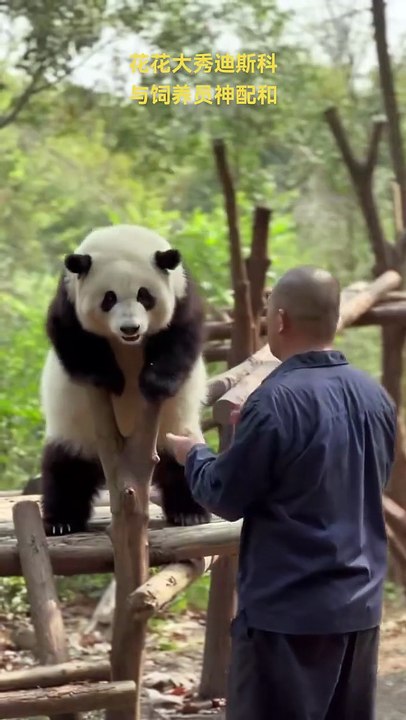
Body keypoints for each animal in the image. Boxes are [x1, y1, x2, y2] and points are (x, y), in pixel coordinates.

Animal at [39, 224, 210, 536]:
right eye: (109, 298)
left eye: (145, 296)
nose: (130, 328)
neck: (121, 237)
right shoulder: (69, 297)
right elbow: (71, 336)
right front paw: (109, 378)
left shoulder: (181, 292)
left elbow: (181, 336)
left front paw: (155, 383)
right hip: (76, 432)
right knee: (65, 470)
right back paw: (61, 521)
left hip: (176, 429)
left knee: (181, 463)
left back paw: (189, 512)